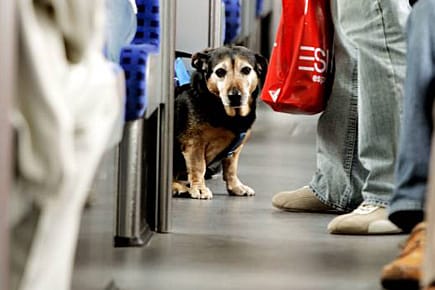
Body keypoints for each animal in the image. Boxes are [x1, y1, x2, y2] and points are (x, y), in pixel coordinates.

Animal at [172, 45, 268, 199]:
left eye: (246, 70)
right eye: (220, 72)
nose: (235, 96)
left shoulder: (235, 150)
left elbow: (231, 168)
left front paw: (236, 187)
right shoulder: (194, 144)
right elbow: (198, 167)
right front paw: (199, 188)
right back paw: (178, 187)